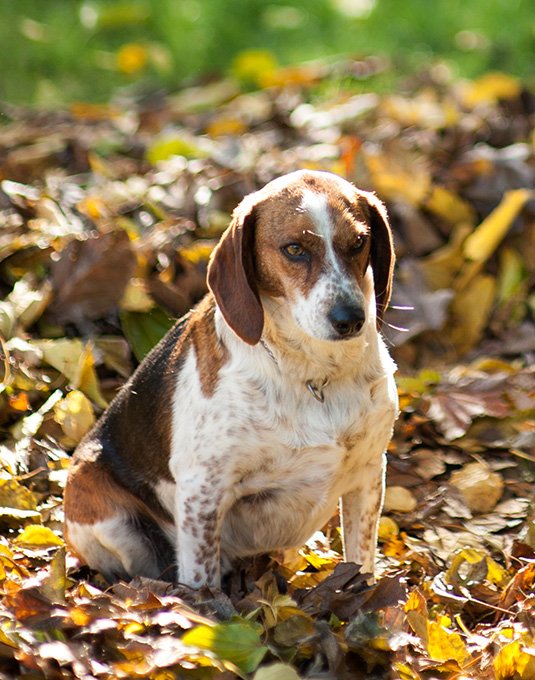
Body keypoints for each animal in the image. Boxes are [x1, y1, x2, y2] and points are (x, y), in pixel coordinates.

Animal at [62, 171, 398, 588]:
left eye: (358, 242)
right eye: (294, 249)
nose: (350, 319)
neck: (315, 371)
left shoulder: (368, 474)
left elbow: (361, 560)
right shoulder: (202, 490)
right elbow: (202, 580)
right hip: (106, 509)